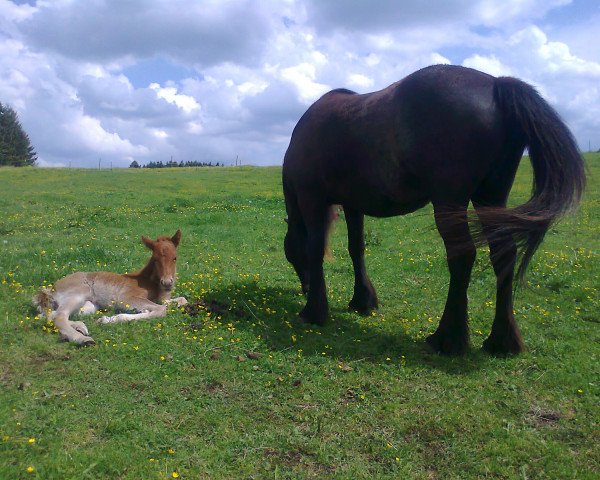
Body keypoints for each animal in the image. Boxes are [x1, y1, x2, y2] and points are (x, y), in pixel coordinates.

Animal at [32, 230, 186, 344]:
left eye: (175, 258)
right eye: (155, 259)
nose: (167, 283)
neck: (147, 281)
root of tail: (51, 289)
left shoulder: (163, 299)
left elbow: (181, 300)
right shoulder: (126, 297)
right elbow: (161, 309)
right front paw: (108, 319)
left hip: (88, 306)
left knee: (47, 315)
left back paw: (80, 327)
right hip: (77, 294)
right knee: (59, 316)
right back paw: (83, 339)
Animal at [282, 63, 584, 354]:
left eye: (291, 257)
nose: (304, 287)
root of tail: (495, 84)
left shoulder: (311, 199)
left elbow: (315, 247)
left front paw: (315, 310)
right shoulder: (353, 204)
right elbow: (356, 248)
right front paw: (362, 300)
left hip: (451, 202)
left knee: (462, 257)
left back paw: (448, 339)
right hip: (491, 197)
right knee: (504, 254)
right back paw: (501, 341)